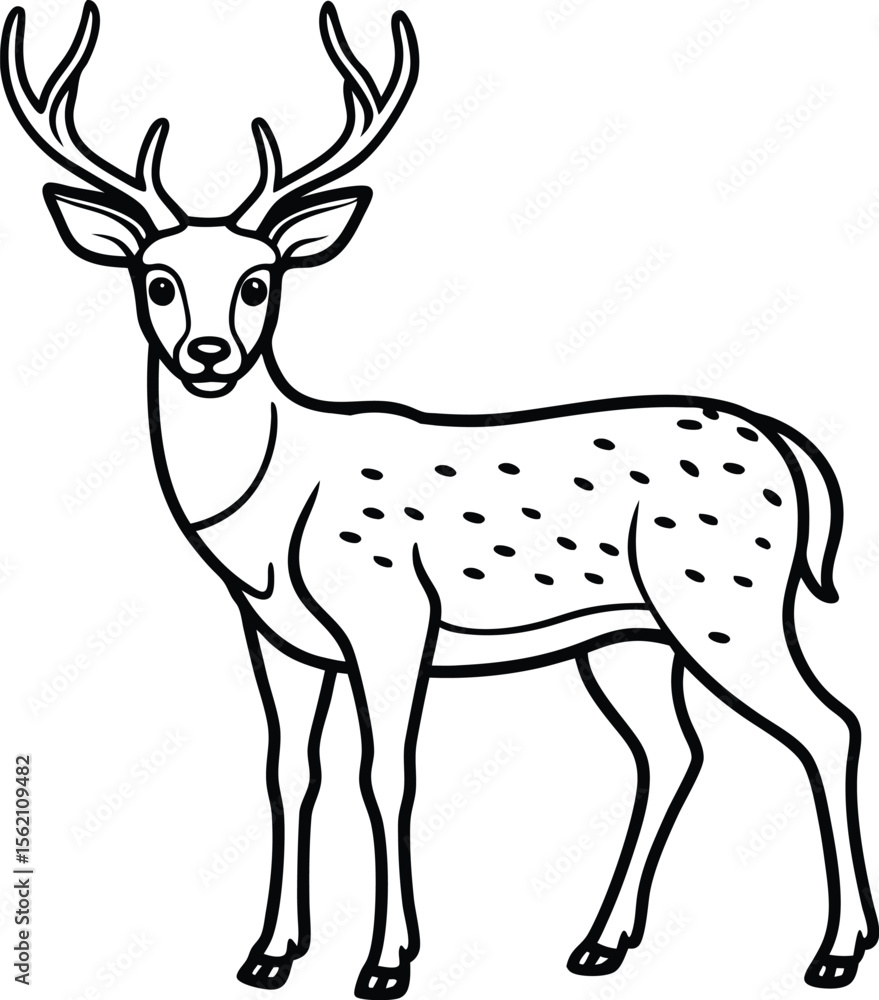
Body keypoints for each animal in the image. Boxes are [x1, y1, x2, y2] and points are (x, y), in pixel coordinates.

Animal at [2, 2, 876, 996]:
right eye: (156, 279)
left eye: (260, 281)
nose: (209, 352)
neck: (267, 521)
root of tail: (788, 449)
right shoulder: (276, 637)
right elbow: (287, 773)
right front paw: (269, 954)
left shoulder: (391, 613)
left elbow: (386, 775)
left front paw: (386, 963)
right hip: (628, 635)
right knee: (673, 752)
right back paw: (601, 942)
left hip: (726, 597)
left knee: (829, 726)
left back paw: (834, 951)